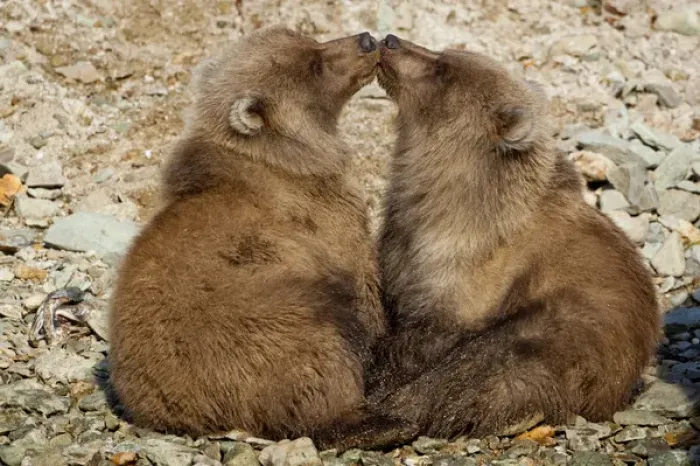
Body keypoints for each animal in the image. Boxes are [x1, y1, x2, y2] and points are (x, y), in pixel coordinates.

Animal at [367, 34, 662, 439]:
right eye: (442, 52)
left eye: (442, 69)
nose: (390, 39)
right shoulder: (404, 242)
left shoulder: (468, 271)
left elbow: (428, 342)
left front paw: (383, 383)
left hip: (567, 330)